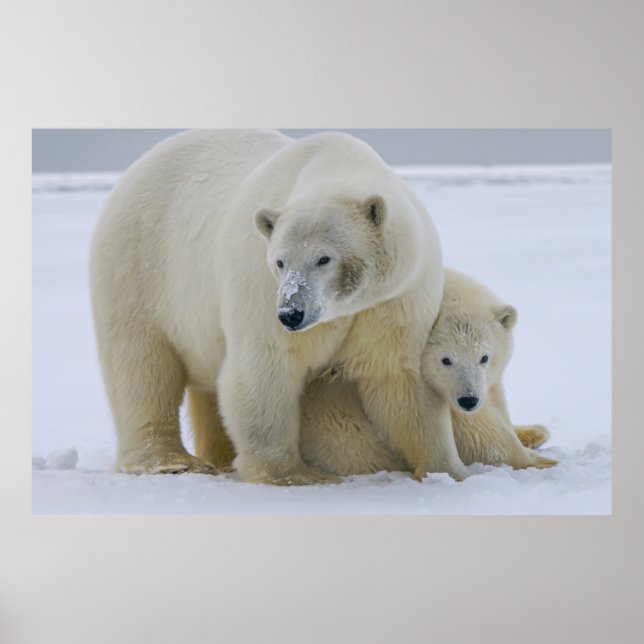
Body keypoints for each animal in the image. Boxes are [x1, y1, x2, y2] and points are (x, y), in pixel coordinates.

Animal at [90, 129, 469, 485]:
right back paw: (169, 461)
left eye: (324, 258)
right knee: (141, 364)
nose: (291, 313)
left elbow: (400, 379)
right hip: (139, 266)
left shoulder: (394, 300)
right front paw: (295, 474)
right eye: (280, 261)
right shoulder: (260, 288)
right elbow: (266, 369)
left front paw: (447, 470)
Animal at [293, 269, 558, 475]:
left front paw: (532, 433)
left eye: (484, 357)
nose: (469, 400)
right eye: (446, 360)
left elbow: (495, 399)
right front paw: (539, 461)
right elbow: (474, 429)